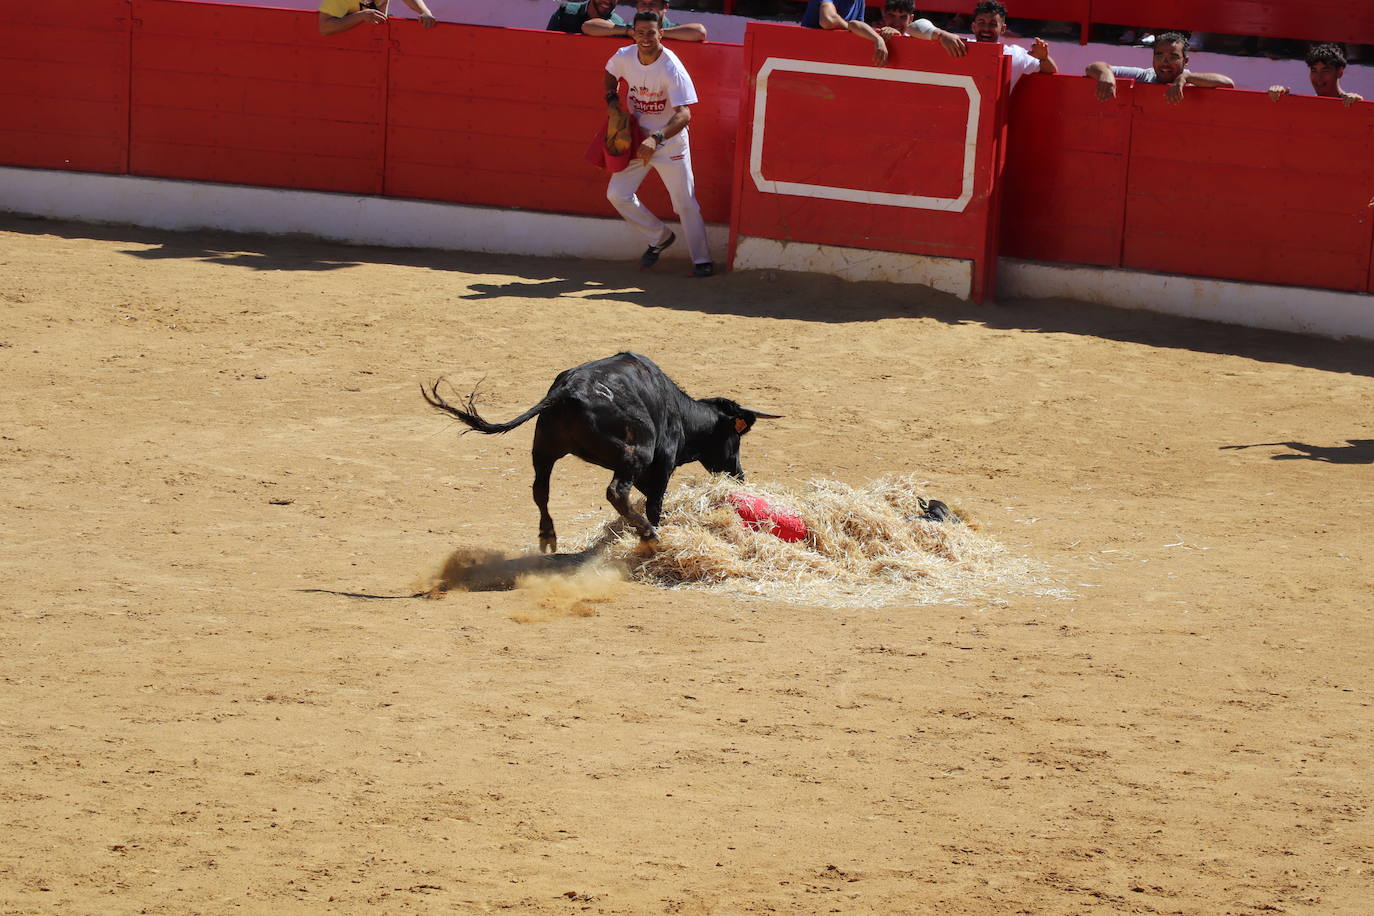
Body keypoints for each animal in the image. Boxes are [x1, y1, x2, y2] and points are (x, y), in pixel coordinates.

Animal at [423, 351, 780, 552]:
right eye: (736, 438)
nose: (739, 475)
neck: (679, 411)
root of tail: (565, 392)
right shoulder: (661, 465)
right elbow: (655, 503)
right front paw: (654, 530)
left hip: (543, 449)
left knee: (540, 490)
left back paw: (547, 536)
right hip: (635, 453)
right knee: (615, 492)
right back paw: (649, 535)